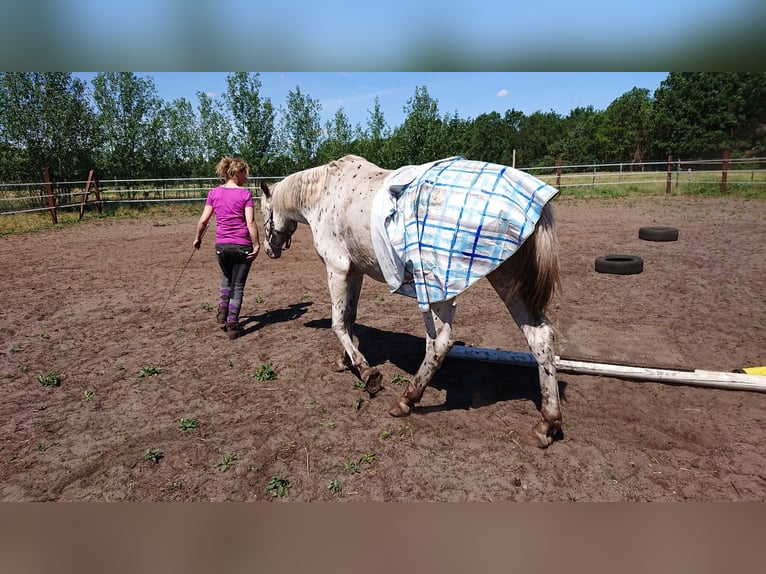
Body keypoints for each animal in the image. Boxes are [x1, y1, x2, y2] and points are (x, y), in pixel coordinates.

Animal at [258, 155, 564, 448]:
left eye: (263, 212)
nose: (269, 250)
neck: (324, 193)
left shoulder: (337, 268)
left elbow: (338, 323)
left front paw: (366, 372)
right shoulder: (355, 271)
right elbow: (349, 317)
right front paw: (347, 360)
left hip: (440, 289)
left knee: (440, 342)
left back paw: (407, 399)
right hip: (508, 283)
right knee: (539, 338)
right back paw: (546, 425)